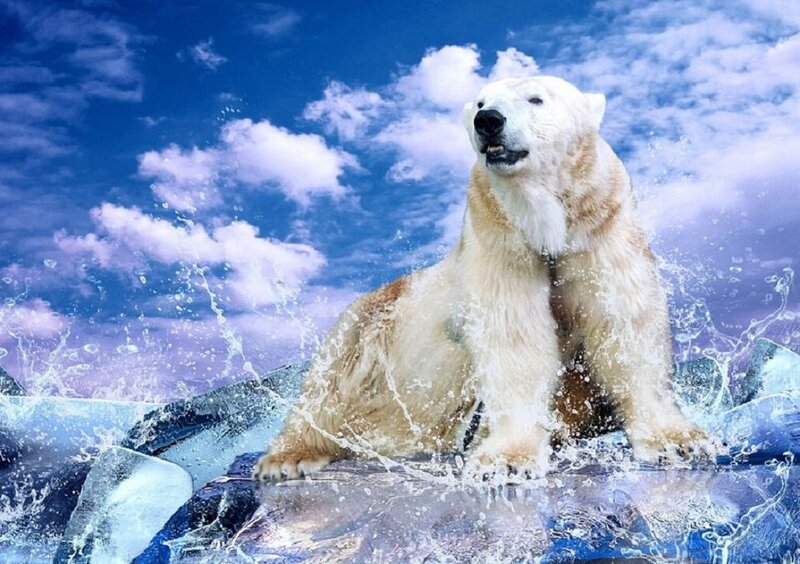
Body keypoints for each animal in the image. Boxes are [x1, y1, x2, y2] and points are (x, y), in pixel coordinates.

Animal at [253, 76, 712, 482]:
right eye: (479, 102)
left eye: (536, 98)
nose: (488, 120)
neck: (543, 223)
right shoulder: (497, 237)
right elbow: (512, 334)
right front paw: (506, 461)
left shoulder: (600, 224)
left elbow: (623, 321)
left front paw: (680, 442)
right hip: (369, 321)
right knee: (328, 380)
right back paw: (289, 458)